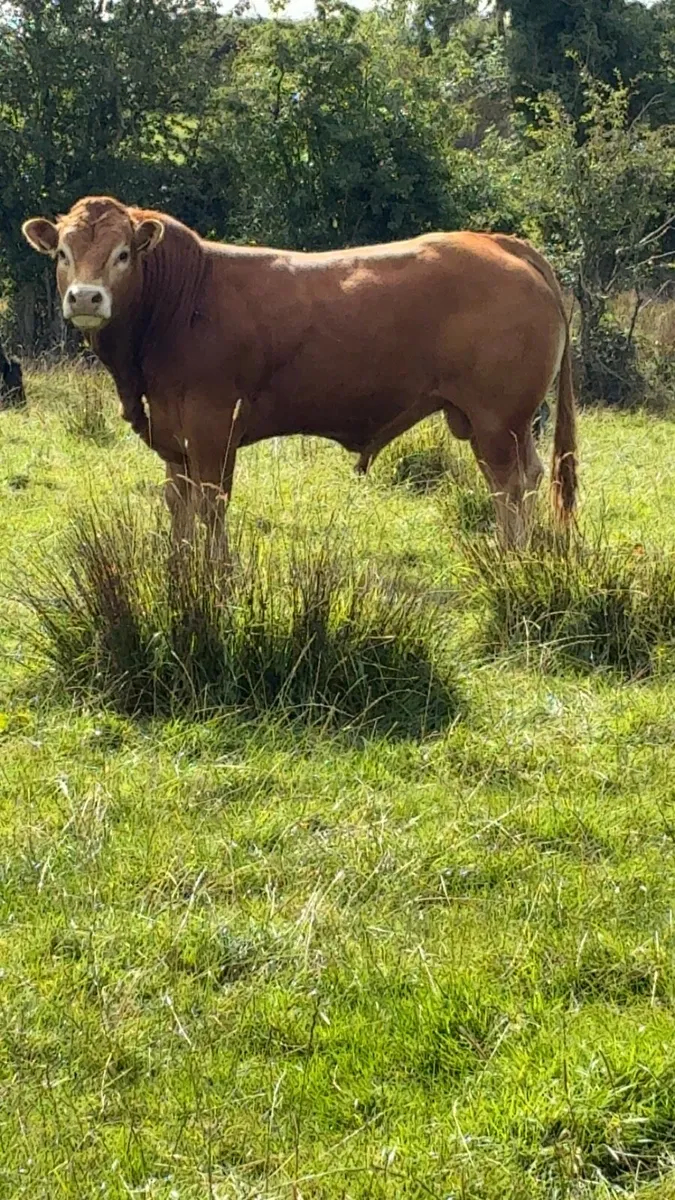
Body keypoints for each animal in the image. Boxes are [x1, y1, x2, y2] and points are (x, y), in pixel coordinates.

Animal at [22, 195, 577, 548]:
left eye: (122, 254)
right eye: (63, 253)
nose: (86, 298)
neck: (181, 299)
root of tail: (499, 243)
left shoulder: (212, 426)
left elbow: (211, 506)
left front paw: (213, 582)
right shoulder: (173, 436)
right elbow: (179, 505)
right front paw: (181, 572)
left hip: (498, 418)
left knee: (511, 485)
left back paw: (511, 559)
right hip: (493, 422)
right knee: (520, 479)